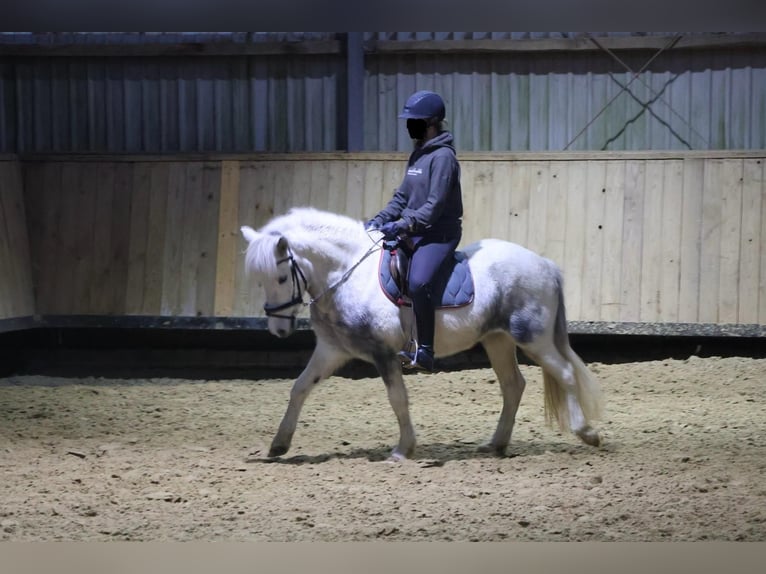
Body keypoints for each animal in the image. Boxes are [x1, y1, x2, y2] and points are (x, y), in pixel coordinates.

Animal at [241, 207, 604, 461]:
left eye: (281, 277)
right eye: (259, 279)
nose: (279, 329)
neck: (347, 275)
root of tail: (545, 264)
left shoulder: (383, 352)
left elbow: (398, 399)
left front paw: (403, 449)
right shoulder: (332, 349)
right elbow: (300, 388)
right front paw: (279, 444)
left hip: (533, 338)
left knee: (565, 373)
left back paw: (586, 432)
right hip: (496, 339)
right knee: (513, 385)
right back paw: (496, 444)